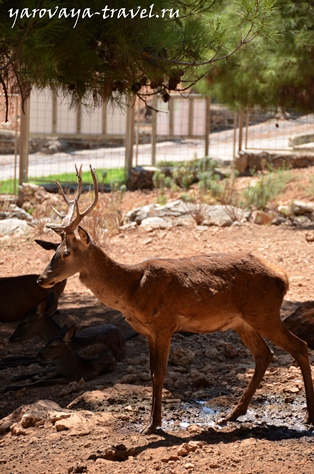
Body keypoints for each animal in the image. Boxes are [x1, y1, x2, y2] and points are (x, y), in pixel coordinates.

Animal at [36, 166, 314, 434]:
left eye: (66, 252)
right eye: (54, 251)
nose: (41, 279)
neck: (132, 289)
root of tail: (284, 277)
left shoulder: (165, 324)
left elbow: (159, 373)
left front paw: (153, 425)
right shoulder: (148, 331)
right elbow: (151, 372)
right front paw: (152, 420)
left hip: (264, 312)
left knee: (299, 347)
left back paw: (308, 416)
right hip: (242, 321)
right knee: (264, 354)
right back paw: (232, 414)